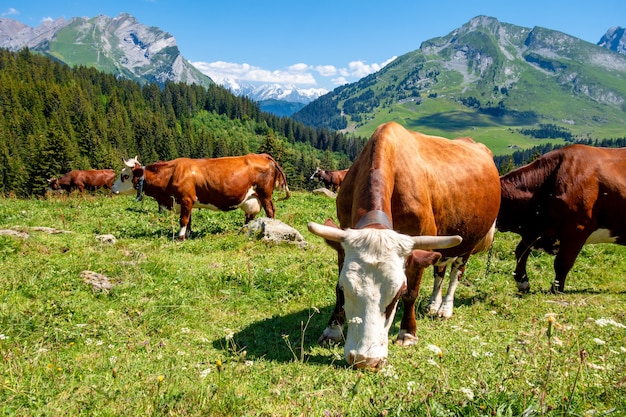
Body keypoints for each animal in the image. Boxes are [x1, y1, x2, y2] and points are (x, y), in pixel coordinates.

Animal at [112, 153, 290, 239]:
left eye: (125, 176)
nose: (113, 188)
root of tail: (262, 155)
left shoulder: (186, 199)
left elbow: (183, 220)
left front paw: (180, 237)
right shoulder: (186, 202)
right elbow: (189, 220)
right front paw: (188, 235)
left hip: (265, 194)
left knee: (270, 211)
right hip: (252, 197)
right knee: (250, 216)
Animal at [304, 120, 500, 368]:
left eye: (397, 294)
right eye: (345, 288)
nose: (365, 360)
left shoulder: (419, 247)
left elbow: (413, 293)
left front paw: (408, 334)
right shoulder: (342, 242)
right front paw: (332, 331)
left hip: (469, 241)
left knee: (456, 271)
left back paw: (444, 308)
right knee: (440, 270)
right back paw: (433, 304)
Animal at [498, 145, 626, 294]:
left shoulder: (577, 228)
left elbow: (562, 262)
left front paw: (555, 290)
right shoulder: (536, 231)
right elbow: (520, 252)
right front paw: (522, 282)